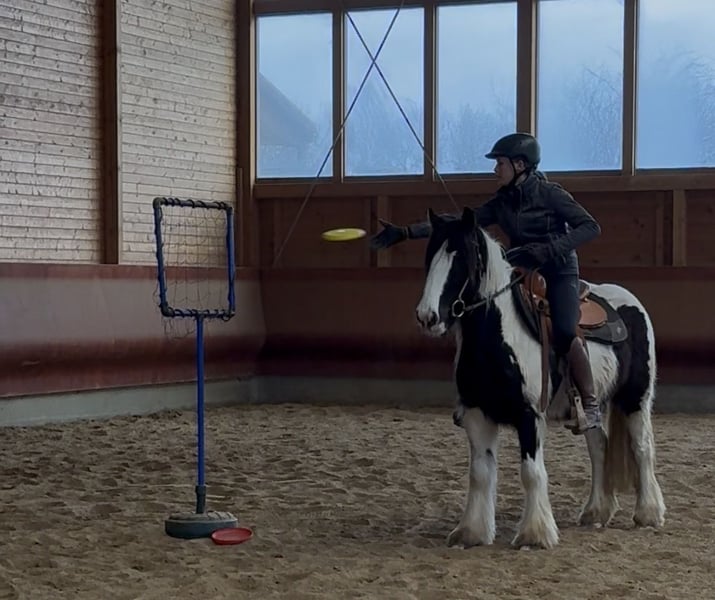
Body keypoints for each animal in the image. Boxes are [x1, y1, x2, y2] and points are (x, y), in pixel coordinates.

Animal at [415, 207, 666, 549]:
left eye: (461, 257)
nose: (427, 317)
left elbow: (531, 472)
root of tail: (630, 301)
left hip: (635, 398)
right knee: (599, 446)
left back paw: (648, 513)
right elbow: (479, 473)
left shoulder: (530, 416)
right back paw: (596, 511)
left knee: (642, 447)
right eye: (431, 255)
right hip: (590, 408)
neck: (499, 338)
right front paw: (471, 531)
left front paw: (535, 534)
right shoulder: (478, 415)